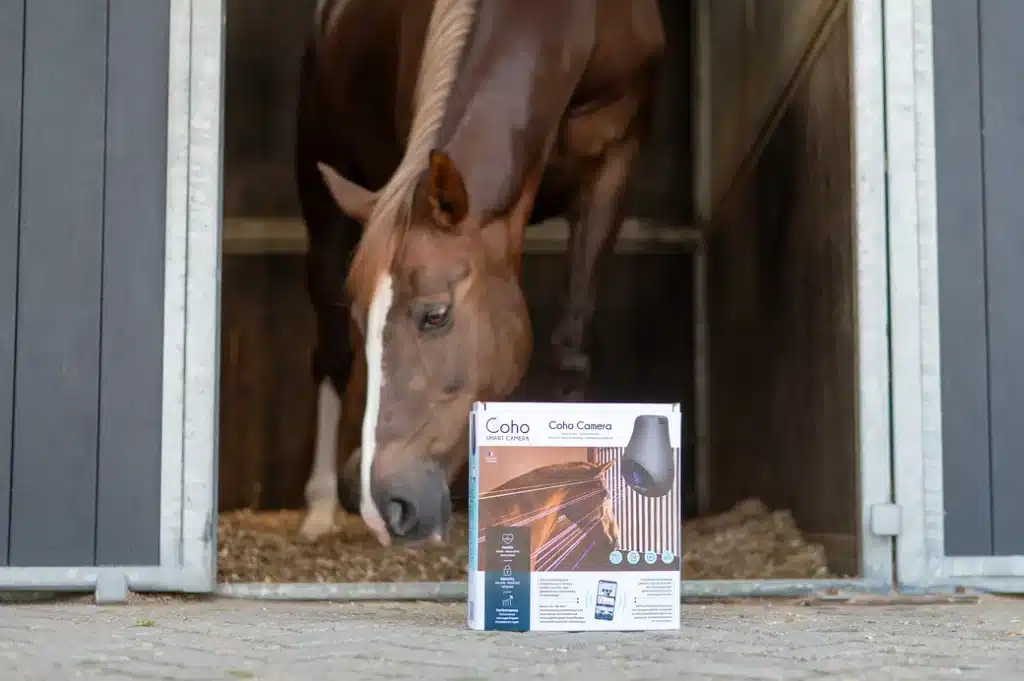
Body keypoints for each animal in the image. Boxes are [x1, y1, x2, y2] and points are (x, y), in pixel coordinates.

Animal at [295, 0, 665, 545]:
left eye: (436, 315)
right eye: (363, 318)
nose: (381, 501)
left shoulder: (615, 159)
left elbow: (571, 350)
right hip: (324, 201)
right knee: (330, 353)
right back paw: (320, 507)